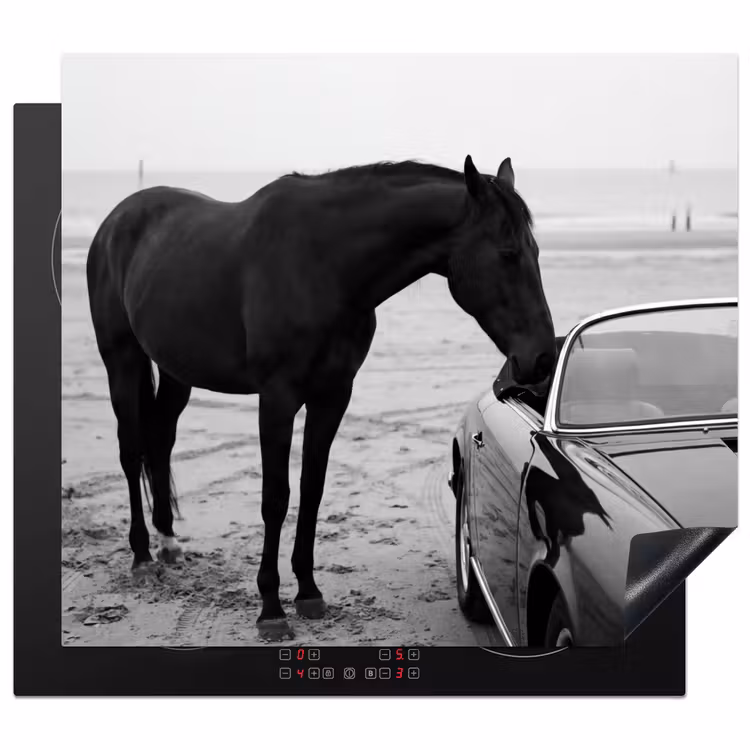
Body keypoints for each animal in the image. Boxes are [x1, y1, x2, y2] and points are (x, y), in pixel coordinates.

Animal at [86, 155, 556, 639]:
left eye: (535, 252)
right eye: (508, 254)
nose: (542, 357)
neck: (323, 265)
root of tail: (116, 220)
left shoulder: (332, 396)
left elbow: (312, 489)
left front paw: (308, 592)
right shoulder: (276, 398)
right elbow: (276, 498)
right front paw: (270, 608)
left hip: (177, 371)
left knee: (160, 441)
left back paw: (167, 542)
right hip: (121, 360)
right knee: (131, 451)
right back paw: (142, 557)